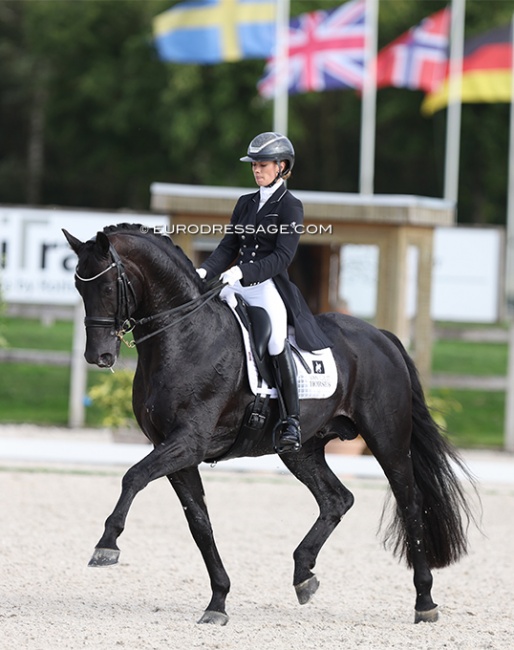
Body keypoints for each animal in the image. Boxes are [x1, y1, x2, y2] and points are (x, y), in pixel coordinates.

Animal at [63, 223, 472, 624]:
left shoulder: (188, 442)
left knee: (410, 503)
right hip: (301, 449)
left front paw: (106, 545)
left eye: (108, 286)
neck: (186, 336)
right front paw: (218, 601)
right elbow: (199, 522)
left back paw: (424, 601)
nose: (98, 356)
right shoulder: (173, 449)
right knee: (336, 498)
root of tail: (381, 337)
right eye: (79, 287)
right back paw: (304, 574)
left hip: (387, 440)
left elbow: (132, 476)